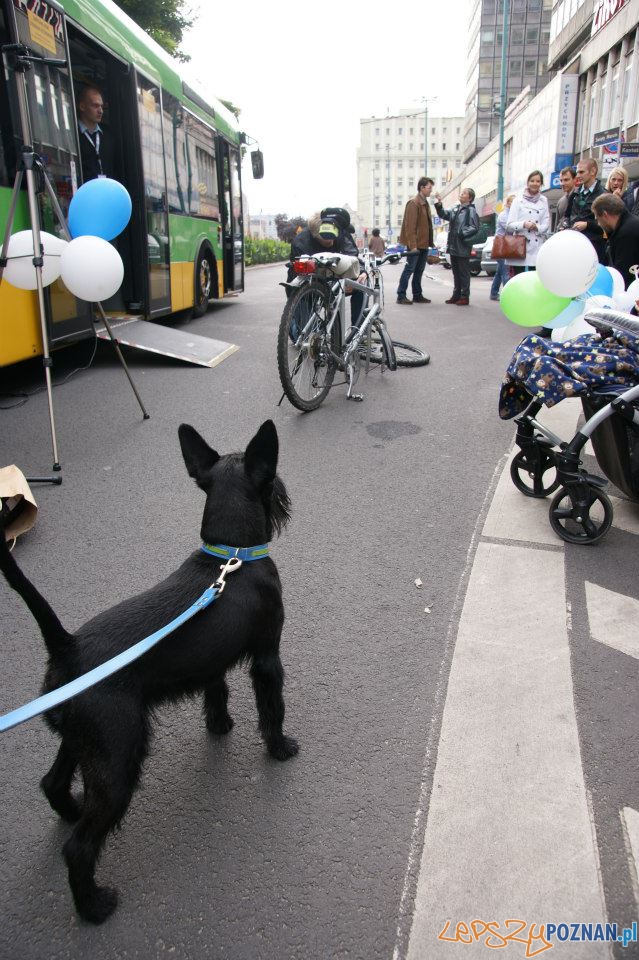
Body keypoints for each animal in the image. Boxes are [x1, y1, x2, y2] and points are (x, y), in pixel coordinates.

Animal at [0, 420, 300, 924]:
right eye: (271, 479)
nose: (285, 492)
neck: (230, 557)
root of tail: (66, 646)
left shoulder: (213, 662)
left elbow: (216, 691)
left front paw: (220, 726)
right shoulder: (267, 658)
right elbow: (271, 707)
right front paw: (280, 748)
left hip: (86, 742)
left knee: (53, 783)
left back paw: (71, 810)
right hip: (119, 758)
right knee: (78, 848)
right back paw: (95, 906)